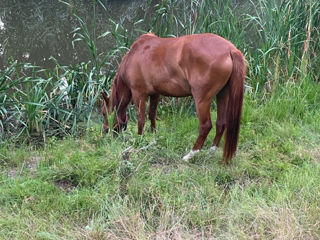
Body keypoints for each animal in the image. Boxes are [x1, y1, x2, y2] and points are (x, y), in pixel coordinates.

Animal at [101, 32, 246, 163]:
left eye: (103, 113)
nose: (105, 131)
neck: (134, 54)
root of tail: (230, 49)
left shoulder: (139, 94)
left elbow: (141, 119)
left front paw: (140, 140)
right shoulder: (155, 94)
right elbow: (152, 115)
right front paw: (153, 138)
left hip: (202, 99)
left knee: (205, 126)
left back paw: (190, 154)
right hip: (222, 95)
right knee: (221, 123)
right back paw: (211, 151)